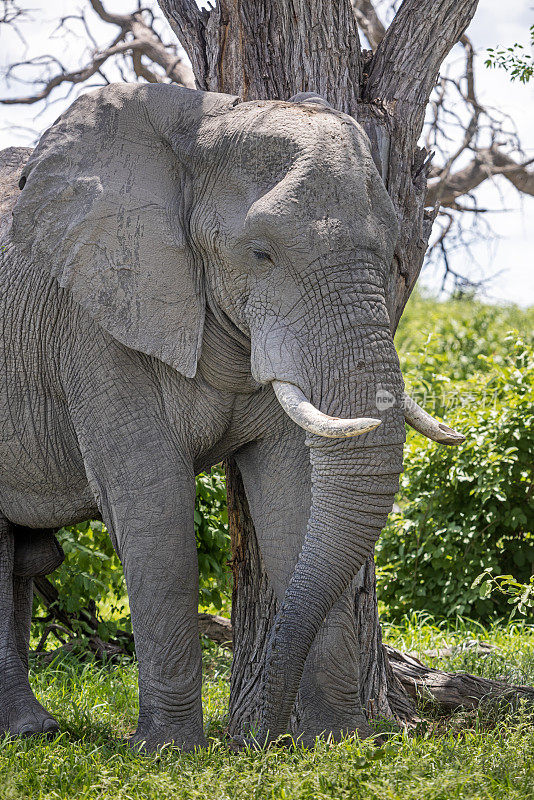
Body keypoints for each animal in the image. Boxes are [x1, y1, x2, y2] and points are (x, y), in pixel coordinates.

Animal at [0, 84, 464, 752]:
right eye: (261, 253)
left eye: (393, 253)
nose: (259, 740)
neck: (205, 123)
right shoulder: (96, 323)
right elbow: (151, 501)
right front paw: (170, 753)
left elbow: (296, 493)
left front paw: (340, 745)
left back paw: (30, 730)